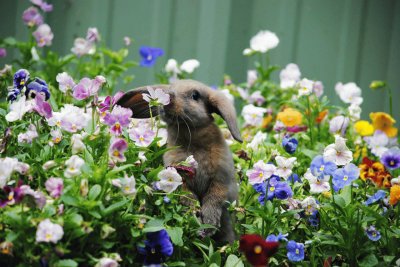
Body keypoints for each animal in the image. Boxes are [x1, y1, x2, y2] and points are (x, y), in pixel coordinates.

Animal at [114, 78, 242, 244]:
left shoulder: (221, 178)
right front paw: (195, 216)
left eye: (195, 95)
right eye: (169, 89)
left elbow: (214, 198)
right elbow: (187, 196)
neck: (192, 139)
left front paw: (209, 223)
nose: (168, 98)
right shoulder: (179, 177)